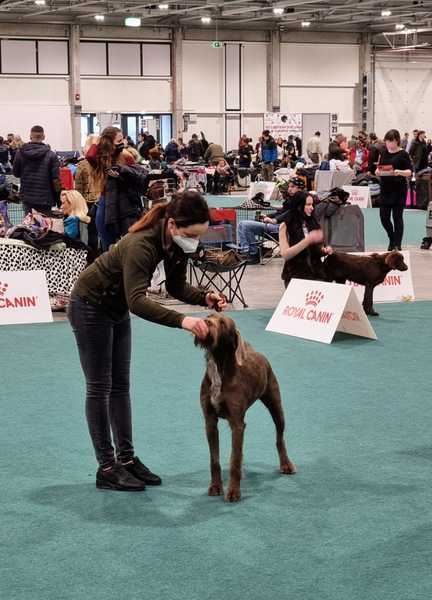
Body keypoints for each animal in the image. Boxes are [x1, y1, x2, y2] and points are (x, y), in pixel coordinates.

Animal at [196, 312, 296, 504]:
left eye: (222, 322)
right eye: (209, 315)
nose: (205, 322)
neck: (218, 366)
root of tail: (255, 351)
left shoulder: (237, 424)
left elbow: (234, 460)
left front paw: (234, 491)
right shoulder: (210, 421)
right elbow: (215, 459)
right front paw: (216, 486)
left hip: (276, 404)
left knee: (280, 438)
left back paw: (286, 464)